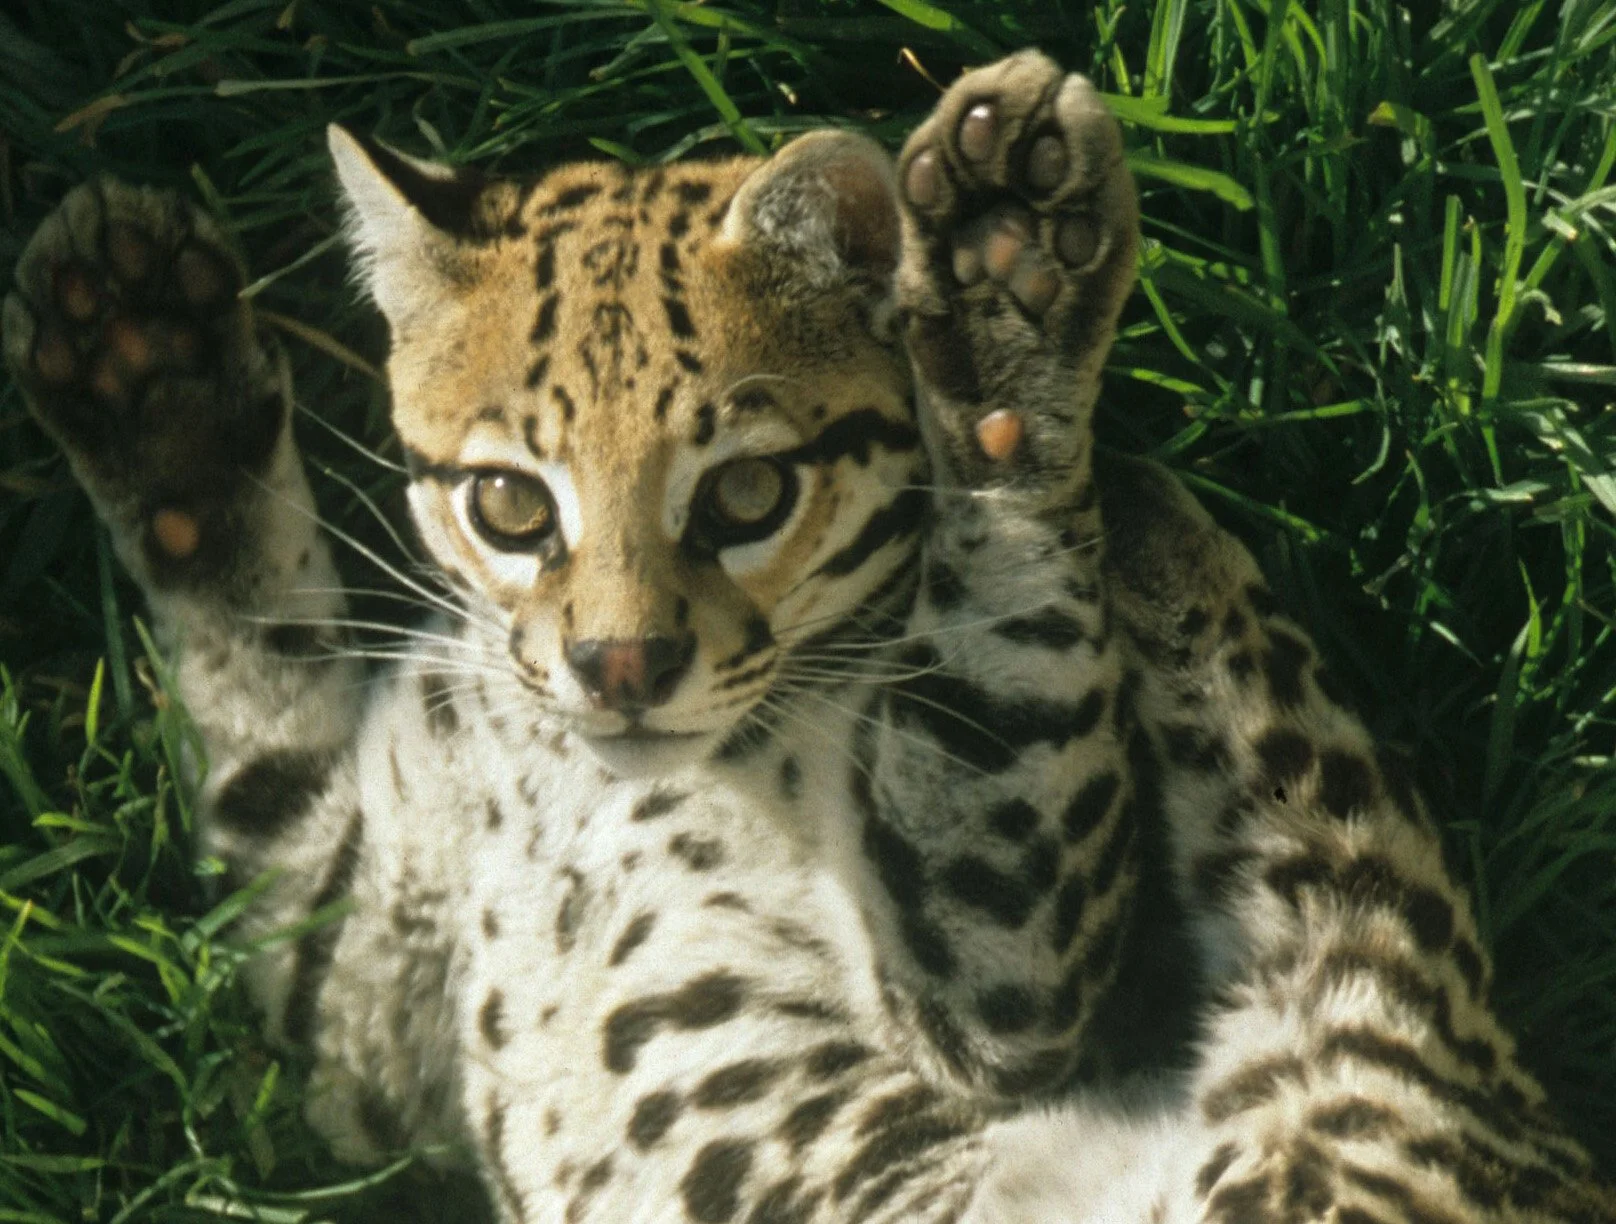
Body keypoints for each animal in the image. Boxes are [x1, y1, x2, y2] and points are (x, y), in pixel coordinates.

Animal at [7, 47, 1613, 1224]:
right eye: (511, 505)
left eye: (746, 492)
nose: (619, 667)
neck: (568, 772)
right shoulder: (351, 977)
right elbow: (257, 727)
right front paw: (146, 369)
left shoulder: (1012, 1001)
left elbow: (998, 706)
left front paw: (1005, 342)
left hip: (1363, 1079)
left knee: (1373, 893)